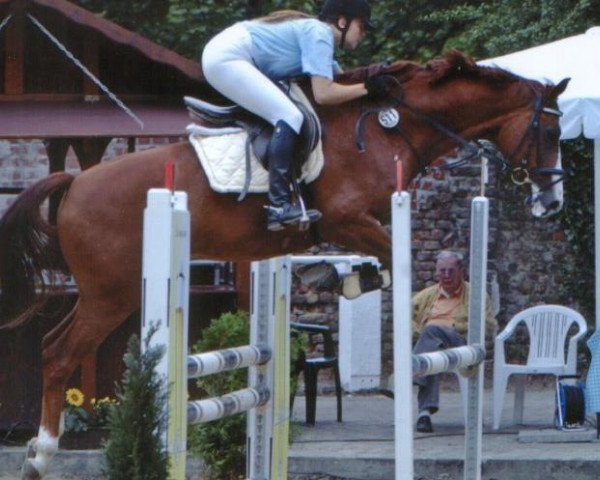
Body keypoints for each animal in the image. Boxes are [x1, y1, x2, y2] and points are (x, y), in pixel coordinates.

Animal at [0, 50, 568, 478]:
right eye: (549, 134)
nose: (552, 201)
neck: (389, 128)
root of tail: (76, 183)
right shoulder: (347, 218)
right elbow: (395, 258)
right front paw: (352, 280)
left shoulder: (355, 222)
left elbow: (384, 261)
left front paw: (344, 279)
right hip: (111, 294)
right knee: (57, 354)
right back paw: (42, 453)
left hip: (104, 294)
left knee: (54, 346)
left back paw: (36, 451)